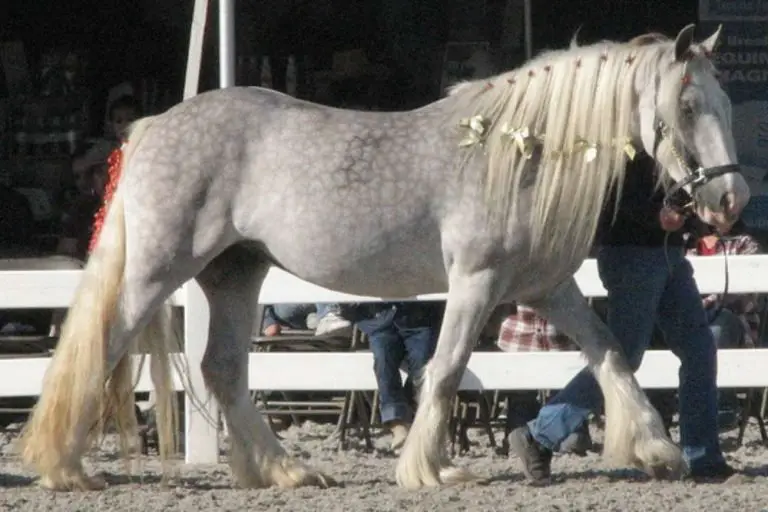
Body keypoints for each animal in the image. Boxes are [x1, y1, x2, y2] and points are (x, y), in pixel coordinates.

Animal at [17, 23, 748, 491]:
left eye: (725, 100)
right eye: (686, 105)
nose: (731, 199)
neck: (520, 153)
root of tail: (153, 125)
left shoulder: (548, 288)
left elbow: (611, 356)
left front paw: (657, 450)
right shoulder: (476, 281)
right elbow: (445, 370)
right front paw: (430, 468)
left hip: (235, 271)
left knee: (222, 369)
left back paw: (286, 471)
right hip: (158, 269)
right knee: (102, 346)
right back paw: (65, 469)